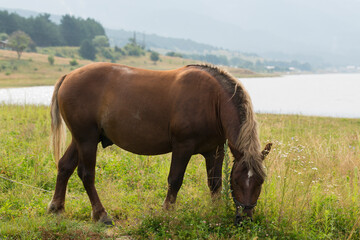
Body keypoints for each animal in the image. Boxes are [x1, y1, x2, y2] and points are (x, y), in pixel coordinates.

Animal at [47, 62, 272, 225]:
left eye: (260, 182)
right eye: (237, 182)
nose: (245, 220)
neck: (212, 101)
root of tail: (68, 76)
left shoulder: (215, 151)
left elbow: (215, 183)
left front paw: (215, 212)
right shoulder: (183, 147)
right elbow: (175, 180)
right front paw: (167, 213)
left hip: (81, 139)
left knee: (65, 166)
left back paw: (56, 207)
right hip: (87, 139)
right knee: (86, 174)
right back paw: (101, 214)